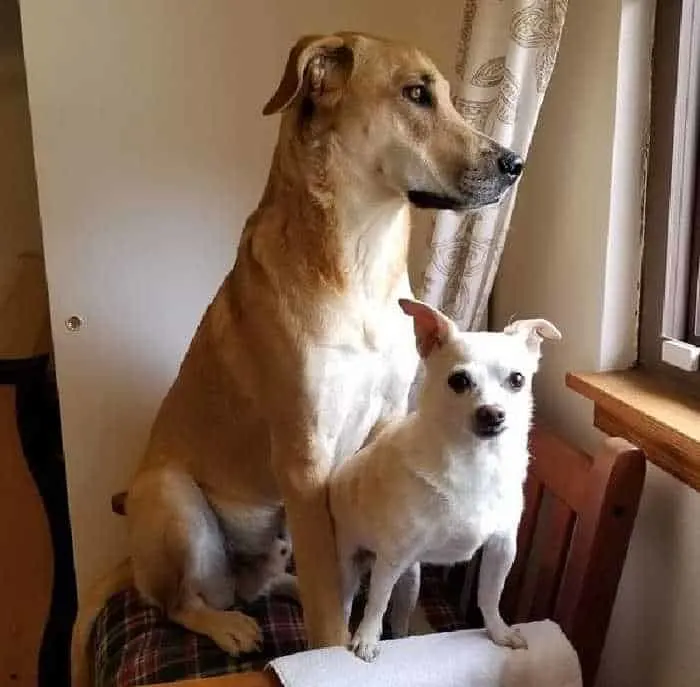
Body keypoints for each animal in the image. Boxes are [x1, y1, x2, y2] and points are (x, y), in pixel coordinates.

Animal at [74, 29, 524, 680]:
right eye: (416, 94)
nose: (515, 164)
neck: (361, 261)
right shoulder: (305, 455)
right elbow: (331, 600)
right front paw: (335, 652)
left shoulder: (384, 425)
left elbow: (389, 572)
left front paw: (403, 625)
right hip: (170, 497)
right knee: (185, 601)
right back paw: (229, 625)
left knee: (270, 582)